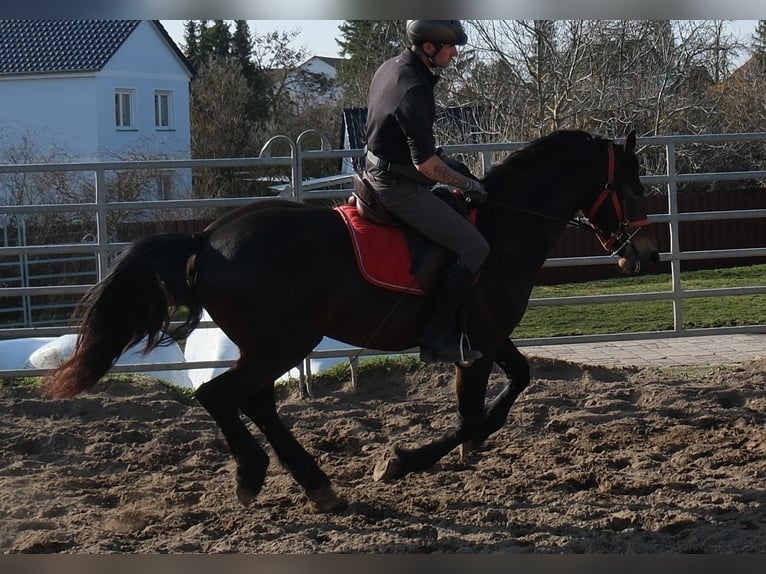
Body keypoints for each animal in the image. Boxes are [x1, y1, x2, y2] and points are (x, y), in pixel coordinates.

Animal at [42, 129, 659, 513]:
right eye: (632, 186)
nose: (647, 256)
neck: (504, 225)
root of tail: (208, 237)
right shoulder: (482, 339)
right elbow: (486, 407)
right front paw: (405, 462)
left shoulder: (484, 340)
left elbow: (496, 395)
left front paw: (460, 450)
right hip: (286, 341)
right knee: (221, 395)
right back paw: (257, 474)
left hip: (273, 344)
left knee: (254, 401)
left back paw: (314, 484)